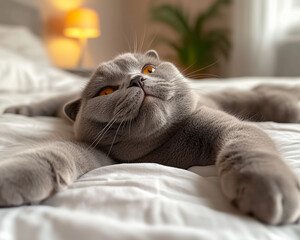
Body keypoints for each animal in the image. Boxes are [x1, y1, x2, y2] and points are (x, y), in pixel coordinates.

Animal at [2, 50, 300, 225]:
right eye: (106, 92)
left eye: (148, 69)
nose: (136, 79)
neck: (165, 149)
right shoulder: (100, 152)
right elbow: (53, 154)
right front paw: (12, 180)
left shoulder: (229, 127)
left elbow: (249, 147)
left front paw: (270, 190)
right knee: (53, 101)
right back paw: (18, 109)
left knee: (260, 93)